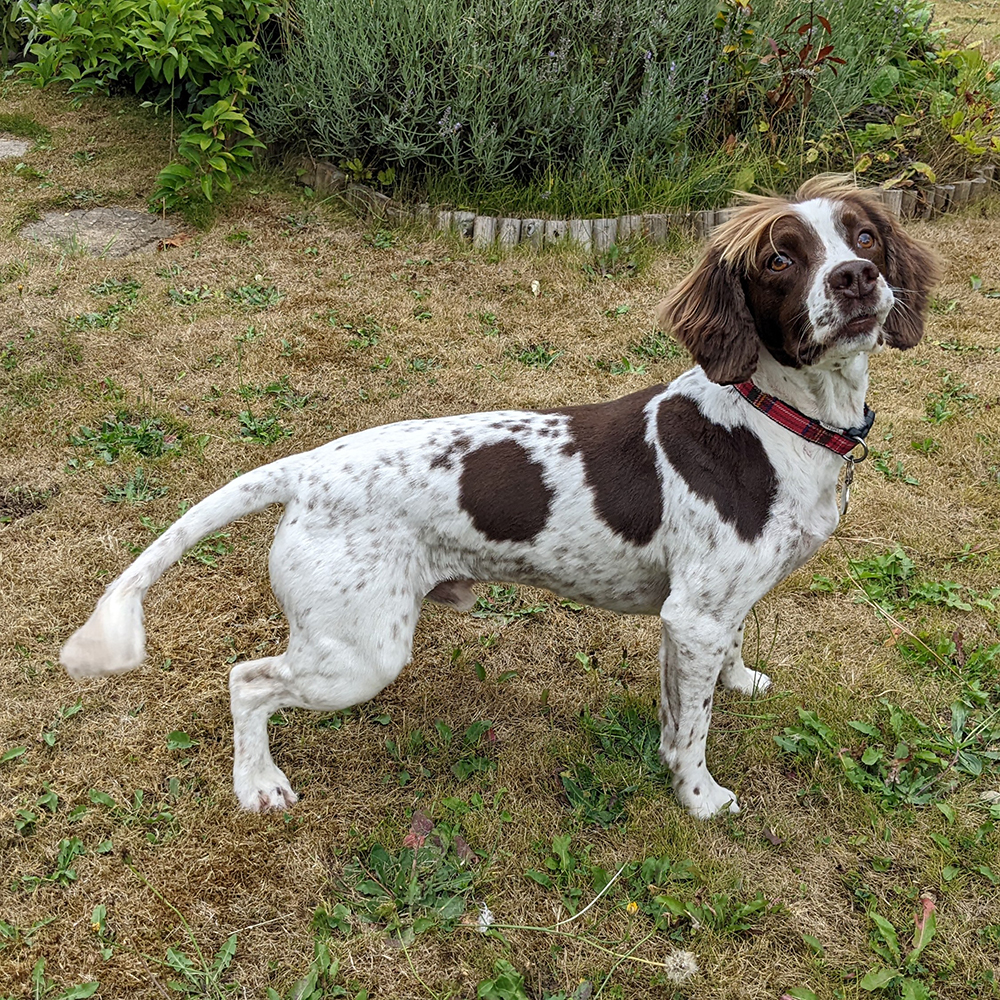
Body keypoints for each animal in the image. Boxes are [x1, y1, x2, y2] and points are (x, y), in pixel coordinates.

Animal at [60, 178, 936, 820]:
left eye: (862, 236)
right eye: (782, 259)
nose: (857, 280)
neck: (773, 417)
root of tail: (308, 468)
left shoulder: (710, 611)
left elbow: (713, 674)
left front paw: (739, 682)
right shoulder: (692, 617)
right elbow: (690, 734)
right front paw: (699, 800)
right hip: (361, 654)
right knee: (247, 680)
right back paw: (257, 785)